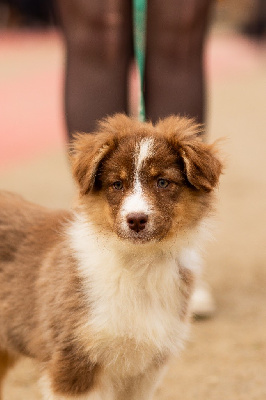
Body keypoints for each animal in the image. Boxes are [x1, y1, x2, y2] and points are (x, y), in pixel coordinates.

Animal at [0, 114, 222, 398]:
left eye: (162, 182)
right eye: (117, 184)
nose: (136, 220)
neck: (139, 264)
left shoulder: (145, 372)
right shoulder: (73, 362)